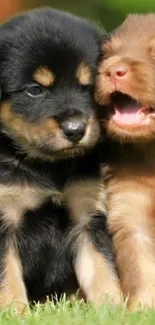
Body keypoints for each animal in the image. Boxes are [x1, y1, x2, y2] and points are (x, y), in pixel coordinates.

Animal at [0, 8, 121, 310]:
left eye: (89, 85)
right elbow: (8, 278)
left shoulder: (87, 215)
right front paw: (14, 312)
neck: (47, 167)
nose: (76, 130)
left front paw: (114, 309)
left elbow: (102, 269)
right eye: (34, 90)